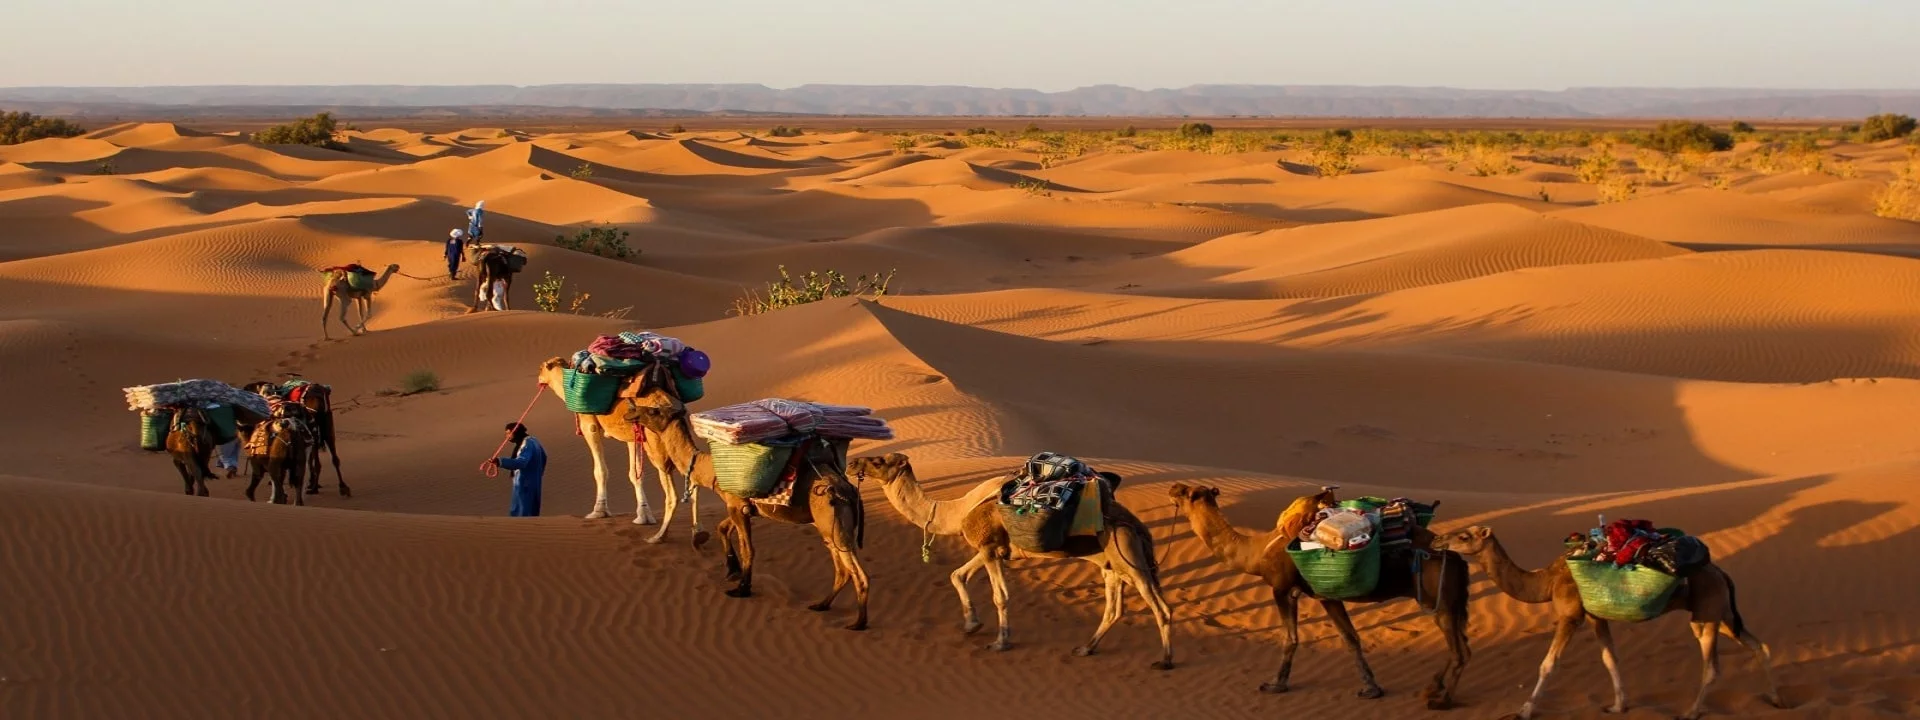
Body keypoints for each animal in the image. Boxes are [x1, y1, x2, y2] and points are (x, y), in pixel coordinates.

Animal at [852, 453, 1175, 668]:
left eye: (879, 461)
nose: (854, 462)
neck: (957, 511)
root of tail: (1139, 526)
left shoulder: (987, 547)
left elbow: (1000, 595)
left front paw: (1000, 642)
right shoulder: (990, 548)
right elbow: (957, 575)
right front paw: (971, 624)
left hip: (1129, 556)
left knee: (1161, 607)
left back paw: (1165, 660)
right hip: (1112, 565)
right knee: (1113, 609)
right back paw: (1085, 649)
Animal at [1167, 485, 1466, 710]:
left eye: (1187, 493)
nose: (1173, 487)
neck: (1256, 553)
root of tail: (1456, 556)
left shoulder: (1281, 589)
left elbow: (1290, 638)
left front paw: (1275, 684)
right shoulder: (1325, 595)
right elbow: (1350, 638)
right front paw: (1371, 688)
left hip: (1437, 600)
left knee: (1458, 652)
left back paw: (1441, 700)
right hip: (1450, 602)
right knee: (1462, 645)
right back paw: (1435, 689)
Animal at [1436, 526, 1774, 720]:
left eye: (1464, 536)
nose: (1439, 539)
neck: (1546, 581)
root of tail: (1721, 573)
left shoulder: (1570, 615)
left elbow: (1548, 664)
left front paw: (1525, 710)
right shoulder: (1596, 615)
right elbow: (1610, 658)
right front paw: (1617, 706)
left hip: (1708, 613)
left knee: (1713, 665)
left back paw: (1691, 713)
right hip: (1722, 613)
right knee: (1760, 645)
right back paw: (1775, 698)